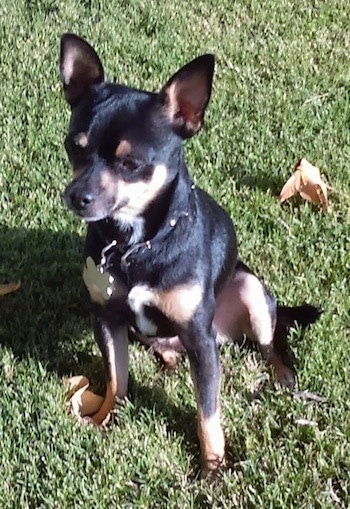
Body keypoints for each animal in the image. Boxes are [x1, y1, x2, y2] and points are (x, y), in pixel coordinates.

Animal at [58, 33, 322, 478]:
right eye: (73, 148)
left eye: (130, 163)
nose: (77, 197)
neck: (136, 245)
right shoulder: (108, 318)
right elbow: (116, 377)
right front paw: (107, 417)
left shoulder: (200, 340)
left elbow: (207, 413)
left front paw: (212, 467)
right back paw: (166, 356)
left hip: (250, 290)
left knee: (268, 341)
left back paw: (282, 372)